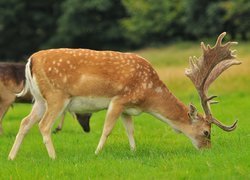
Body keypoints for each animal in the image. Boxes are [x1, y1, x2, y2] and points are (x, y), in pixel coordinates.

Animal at [8, 32, 241, 159]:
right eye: (206, 132)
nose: (208, 150)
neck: (148, 95)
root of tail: (31, 60)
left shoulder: (129, 109)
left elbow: (130, 130)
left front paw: (133, 151)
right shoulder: (119, 99)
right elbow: (107, 129)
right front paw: (96, 153)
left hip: (39, 99)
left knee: (25, 122)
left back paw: (11, 157)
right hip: (57, 96)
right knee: (43, 125)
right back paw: (54, 157)